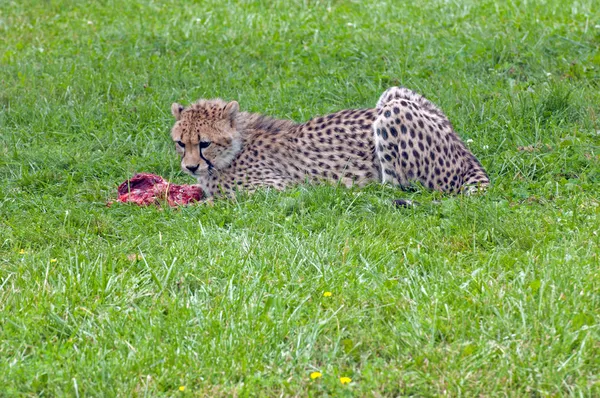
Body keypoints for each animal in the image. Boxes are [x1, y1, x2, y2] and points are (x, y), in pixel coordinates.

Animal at [168, 86, 488, 199]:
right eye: (181, 143)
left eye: (204, 143)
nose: (190, 167)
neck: (234, 149)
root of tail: (463, 148)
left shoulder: (276, 189)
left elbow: (221, 199)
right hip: (393, 93)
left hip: (393, 111)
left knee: (397, 186)